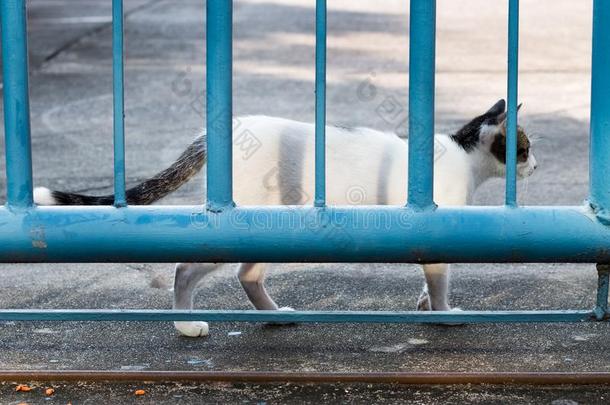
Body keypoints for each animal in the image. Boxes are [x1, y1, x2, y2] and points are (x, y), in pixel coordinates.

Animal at [34, 98, 536, 338]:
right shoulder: (434, 233)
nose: (537, 164)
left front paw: (426, 306)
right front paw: (444, 314)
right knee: (185, 268)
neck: (463, 158)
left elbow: (431, 281)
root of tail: (218, 136)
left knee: (247, 274)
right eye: (525, 148)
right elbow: (440, 280)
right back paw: (185, 325)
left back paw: (274, 316)